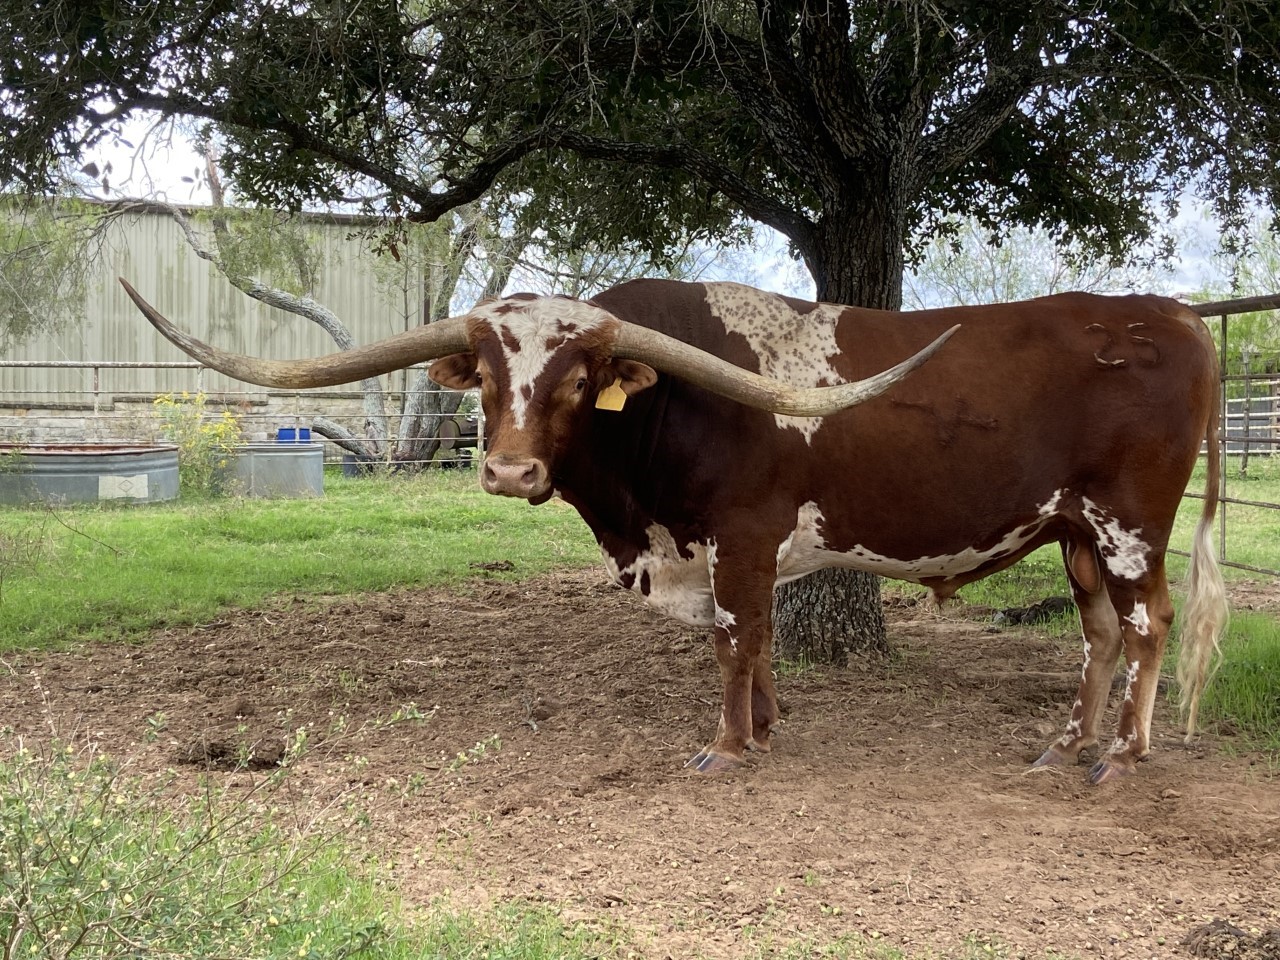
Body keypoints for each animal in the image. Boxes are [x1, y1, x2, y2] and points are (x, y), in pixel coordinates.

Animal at [121, 276, 1228, 784]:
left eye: (577, 379)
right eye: (486, 373)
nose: (509, 470)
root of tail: (1172, 313)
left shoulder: (741, 536)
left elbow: (736, 641)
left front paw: (728, 747)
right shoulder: (737, 551)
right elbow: (755, 641)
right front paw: (767, 728)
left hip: (1128, 523)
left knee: (1148, 627)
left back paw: (1120, 757)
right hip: (1074, 531)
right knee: (1097, 633)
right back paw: (1065, 742)